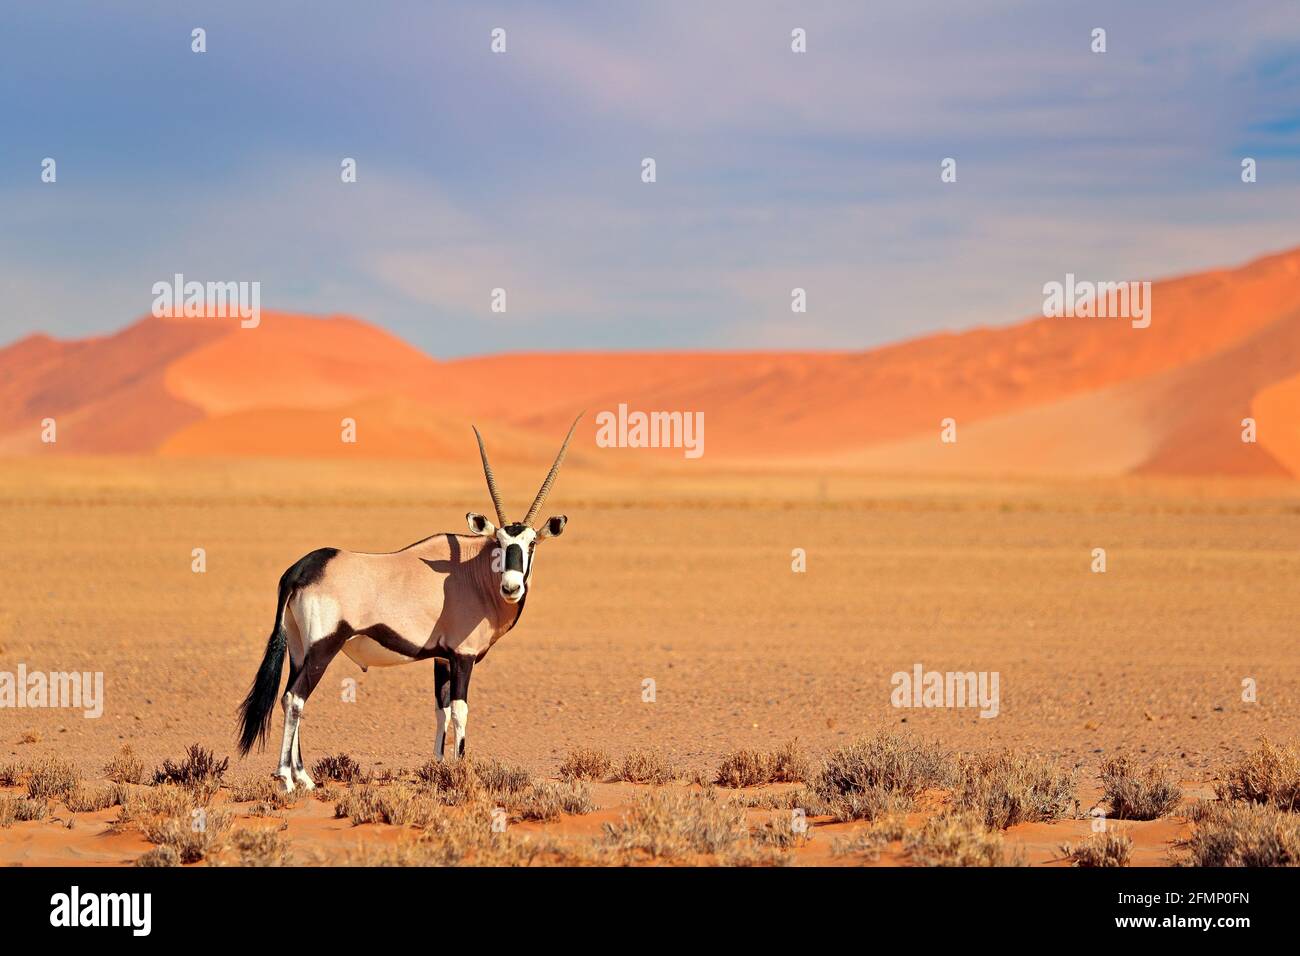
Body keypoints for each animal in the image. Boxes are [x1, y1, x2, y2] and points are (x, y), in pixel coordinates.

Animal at [236, 417, 580, 791]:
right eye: (500, 542)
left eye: (531, 544)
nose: (511, 587)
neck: (472, 573)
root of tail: (300, 569)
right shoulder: (462, 656)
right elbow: (460, 710)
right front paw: (461, 769)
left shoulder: (442, 657)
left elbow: (441, 710)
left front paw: (440, 766)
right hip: (322, 648)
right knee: (295, 698)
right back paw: (288, 778)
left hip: (299, 650)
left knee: (288, 696)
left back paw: (304, 777)